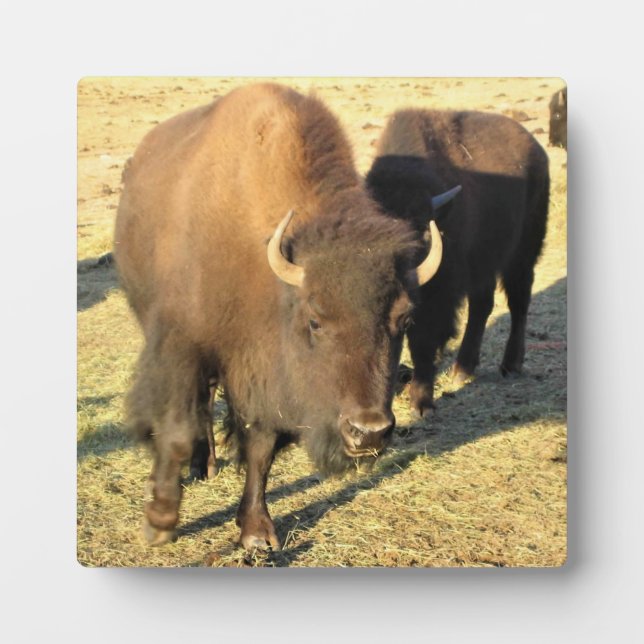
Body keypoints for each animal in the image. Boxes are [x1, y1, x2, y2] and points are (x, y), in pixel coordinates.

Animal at [114, 84, 458, 550]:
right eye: (315, 320)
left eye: (404, 320)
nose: (368, 431)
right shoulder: (182, 346)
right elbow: (176, 430)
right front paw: (159, 522)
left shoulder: (260, 372)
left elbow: (261, 447)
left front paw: (257, 532)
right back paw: (199, 469)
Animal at [366, 109, 550, 417]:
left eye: (422, 229)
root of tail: (537, 151)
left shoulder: (438, 298)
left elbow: (423, 341)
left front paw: (422, 404)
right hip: (484, 265)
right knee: (482, 306)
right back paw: (463, 369)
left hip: (522, 255)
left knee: (518, 303)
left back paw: (510, 365)